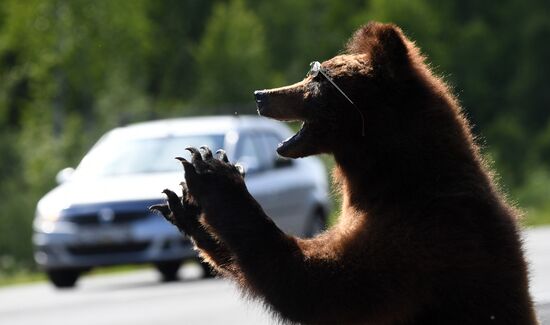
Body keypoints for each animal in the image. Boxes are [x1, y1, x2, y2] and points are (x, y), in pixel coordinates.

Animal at [150, 21, 540, 322]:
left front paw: (213, 173)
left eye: (316, 79)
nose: (261, 94)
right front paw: (186, 205)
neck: (389, 176)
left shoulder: (424, 236)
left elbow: (322, 285)